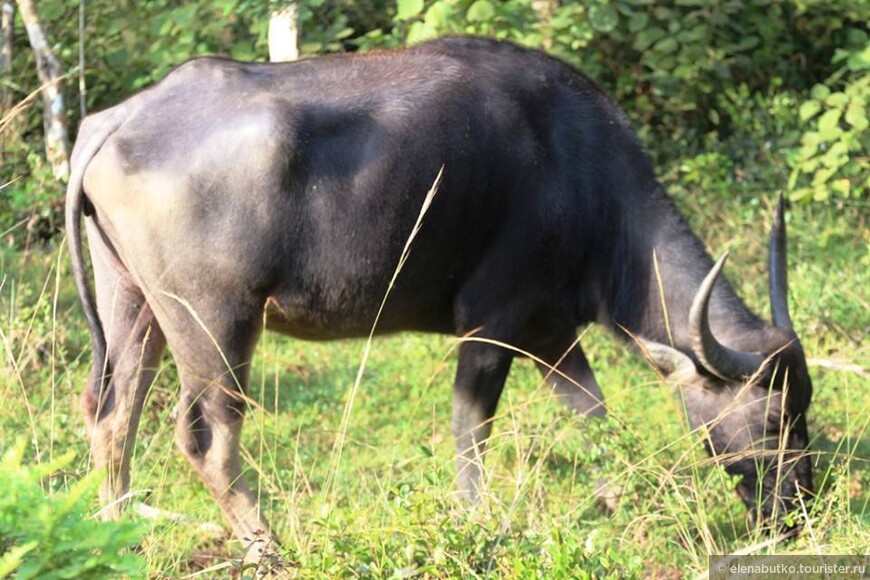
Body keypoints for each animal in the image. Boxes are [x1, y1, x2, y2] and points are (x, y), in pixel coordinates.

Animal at [64, 35, 816, 556]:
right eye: (775, 419)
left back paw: (119, 533)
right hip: (216, 321)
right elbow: (471, 429)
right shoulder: (491, 324)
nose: (798, 510)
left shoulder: (550, 332)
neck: (584, 177)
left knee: (112, 411)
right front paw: (476, 518)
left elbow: (594, 416)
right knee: (206, 437)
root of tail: (115, 122)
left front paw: (610, 497)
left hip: (131, 298)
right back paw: (269, 548)